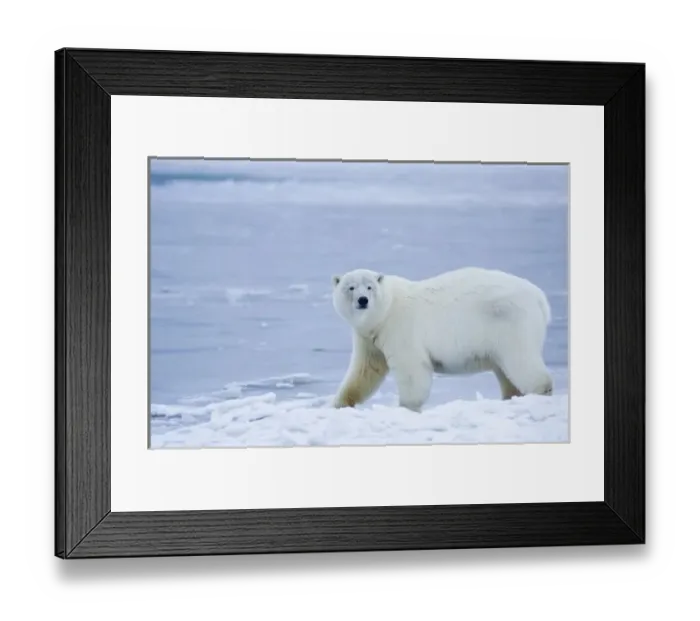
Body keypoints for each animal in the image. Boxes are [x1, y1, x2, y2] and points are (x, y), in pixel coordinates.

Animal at [330, 267, 553, 412]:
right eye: (350, 287)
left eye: (369, 287)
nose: (363, 300)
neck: (385, 312)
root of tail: (540, 297)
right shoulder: (369, 338)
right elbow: (364, 371)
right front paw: (340, 403)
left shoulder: (400, 329)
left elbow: (411, 369)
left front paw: (406, 406)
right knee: (506, 371)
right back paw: (510, 396)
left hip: (512, 324)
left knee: (522, 362)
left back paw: (541, 391)